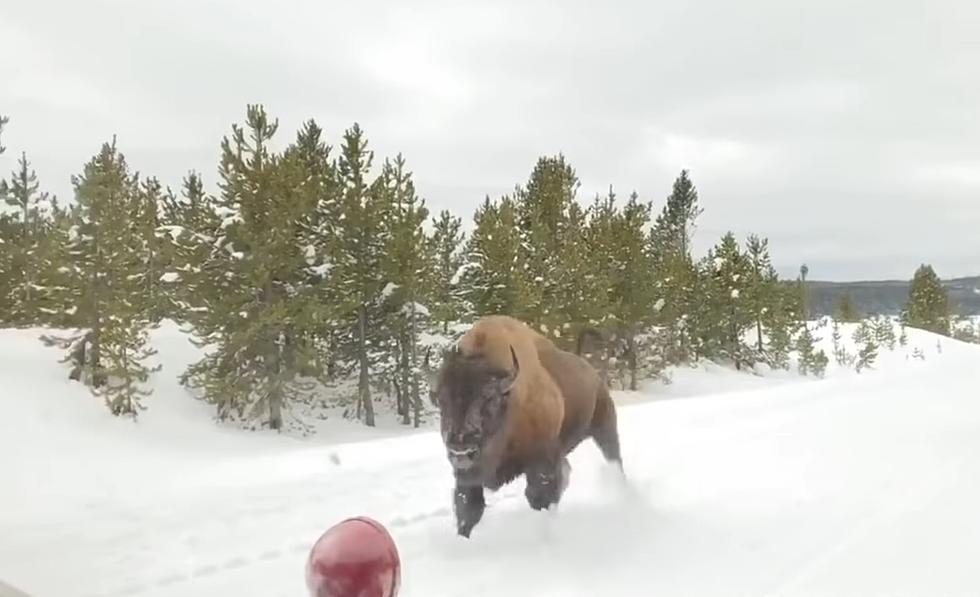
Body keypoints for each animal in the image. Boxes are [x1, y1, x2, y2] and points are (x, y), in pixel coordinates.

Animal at [426, 314, 624, 536]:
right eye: (441, 401)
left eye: (489, 398)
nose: (461, 448)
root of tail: (591, 371)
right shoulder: (467, 478)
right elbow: (468, 509)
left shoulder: (542, 463)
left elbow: (539, 497)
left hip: (604, 428)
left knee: (614, 460)